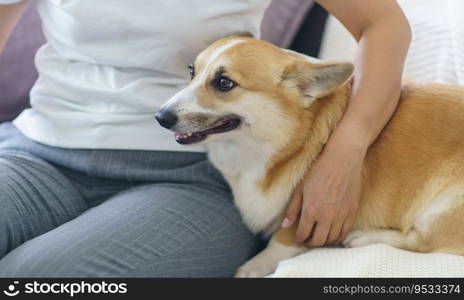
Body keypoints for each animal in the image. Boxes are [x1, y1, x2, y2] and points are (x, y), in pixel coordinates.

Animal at [157, 36, 464, 278]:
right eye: (192, 71)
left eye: (223, 83)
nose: (160, 117)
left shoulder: (307, 213)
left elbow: (280, 243)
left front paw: (253, 267)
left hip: (445, 205)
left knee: (421, 242)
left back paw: (364, 237)